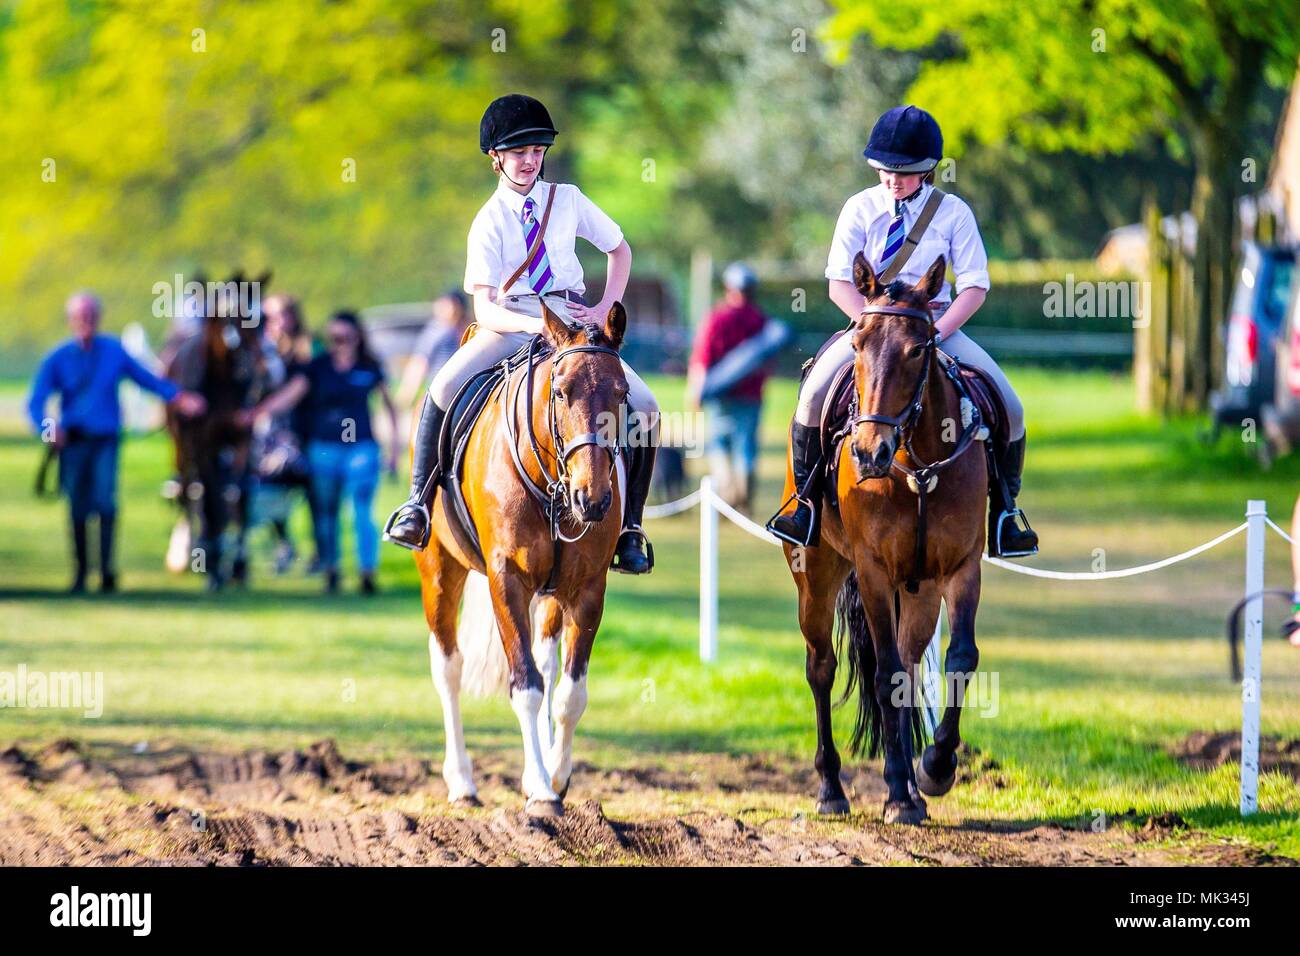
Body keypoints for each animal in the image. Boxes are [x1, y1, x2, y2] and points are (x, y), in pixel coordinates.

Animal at [162, 270, 274, 590]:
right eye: (239, 317)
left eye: (265, 318)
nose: (266, 375)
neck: (222, 380)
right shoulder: (201, 446)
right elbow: (212, 498)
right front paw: (213, 567)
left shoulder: (242, 439)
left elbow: (239, 497)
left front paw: (238, 566)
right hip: (180, 447)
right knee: (192, 491)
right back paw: (196, 551)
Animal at [416, 303, 639, 816]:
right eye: (560, 392)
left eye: (622, 394)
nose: (593, 500)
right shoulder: (508, 581)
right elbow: (526, 686)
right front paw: (539, 787)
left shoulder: (587, 589)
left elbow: (569, 693)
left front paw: (555, 777)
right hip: (439, 570)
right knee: (448, 668)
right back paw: (462, 781)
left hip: (552, 593)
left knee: (546, 662)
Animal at [780, 256, 982, 832]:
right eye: (858, 344)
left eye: (919, 349)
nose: (870, 452)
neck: (916, 465)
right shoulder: (870, 571)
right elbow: (883, 672)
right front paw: (896, 794)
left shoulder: (962, 567)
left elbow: (958, 657)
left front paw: (935, 769)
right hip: (816, 574)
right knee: (822, 666)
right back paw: (831, 788)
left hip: (919, 589)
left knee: (912, 666)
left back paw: (915, 783)